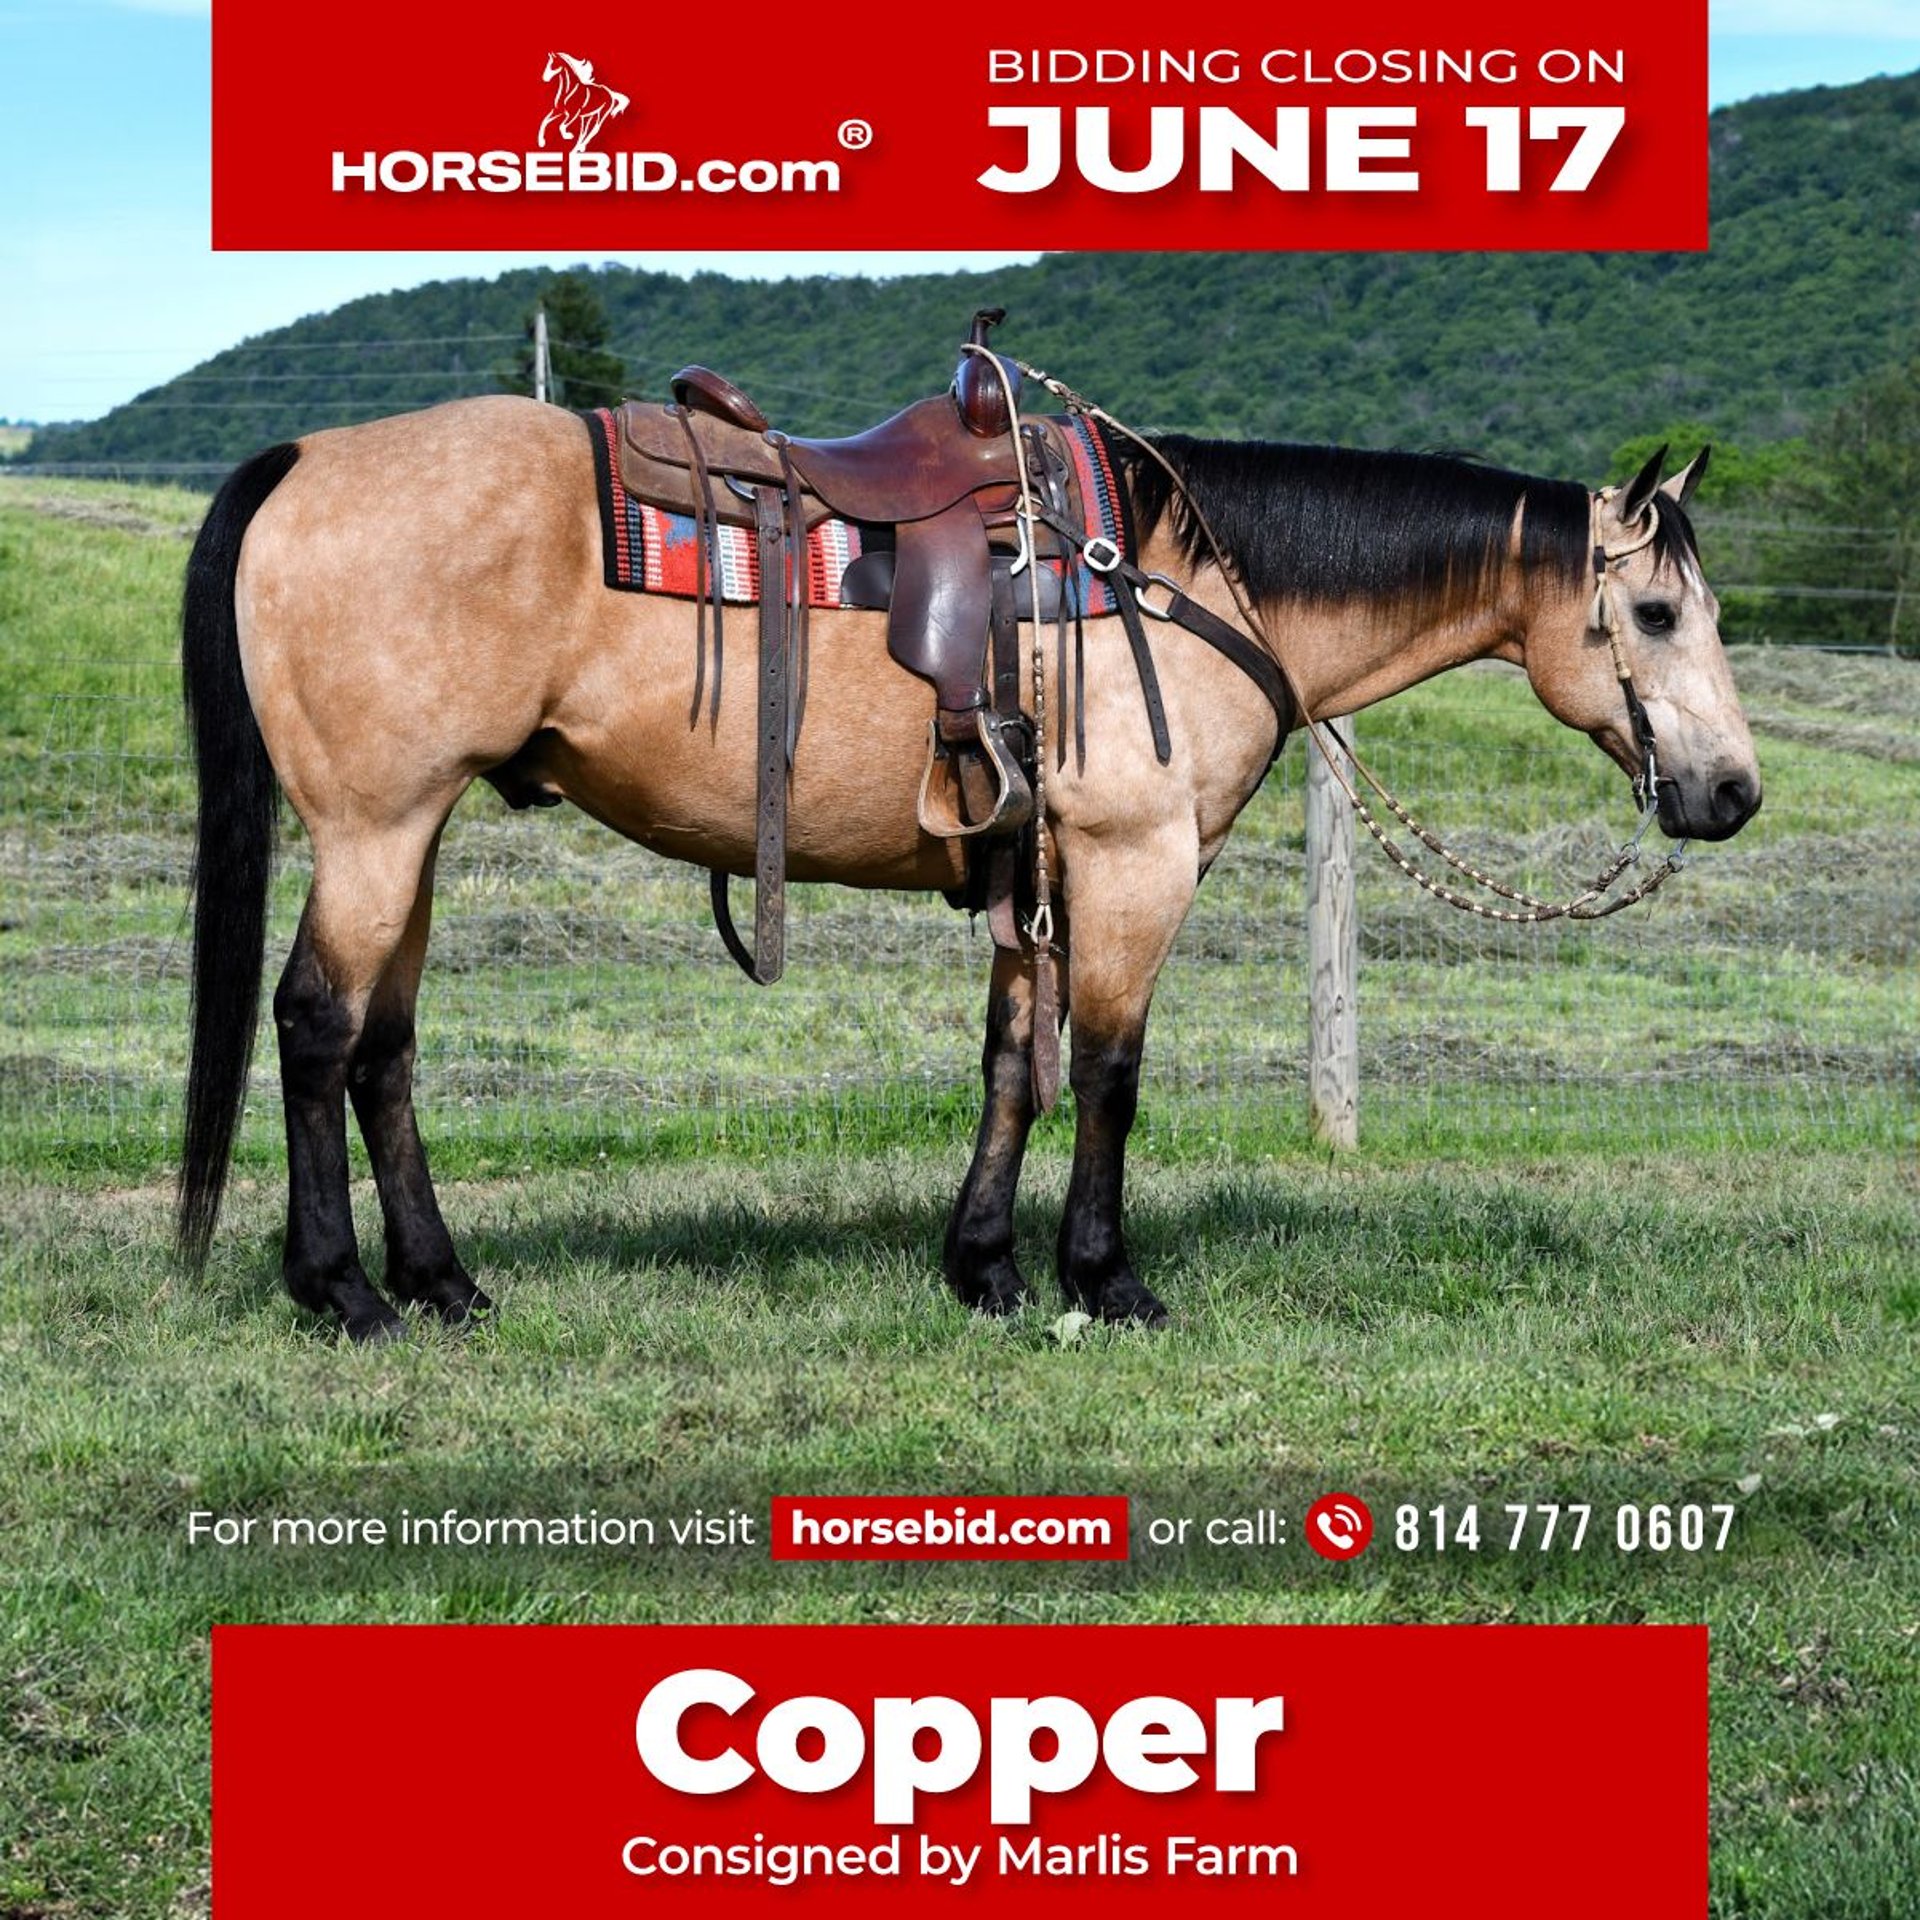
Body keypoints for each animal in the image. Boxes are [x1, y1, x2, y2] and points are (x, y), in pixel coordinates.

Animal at [175, 391, 1761, 1342]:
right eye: (1659, 613)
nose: (1733, 791)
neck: (1189, 580)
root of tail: (313, 458)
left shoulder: (1029, 875)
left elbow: (1015, 1068)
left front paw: (984, 1265)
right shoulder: (1132, 863)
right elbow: (1111, 1074)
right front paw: (1105, 1279)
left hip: (413, 833)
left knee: (384, 1047)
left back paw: (442, 1281)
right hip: (378, 827)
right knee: (316, 1027)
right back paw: (343, 1293)